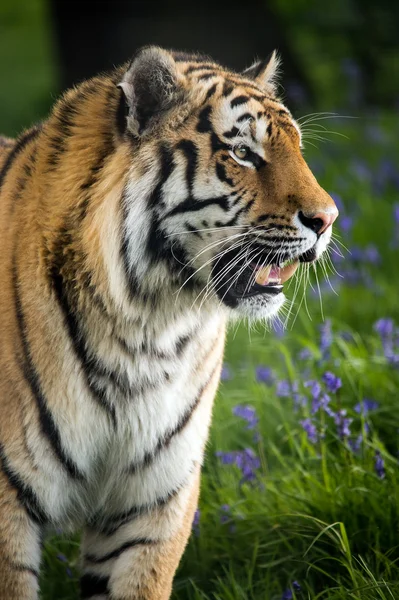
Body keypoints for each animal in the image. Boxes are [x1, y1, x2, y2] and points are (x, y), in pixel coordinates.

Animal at [0, 44, 338, 596]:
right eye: (242, 152)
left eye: (298, 148)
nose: (328, 220)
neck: (146, 327)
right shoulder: (9, 501)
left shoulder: (153, 501)